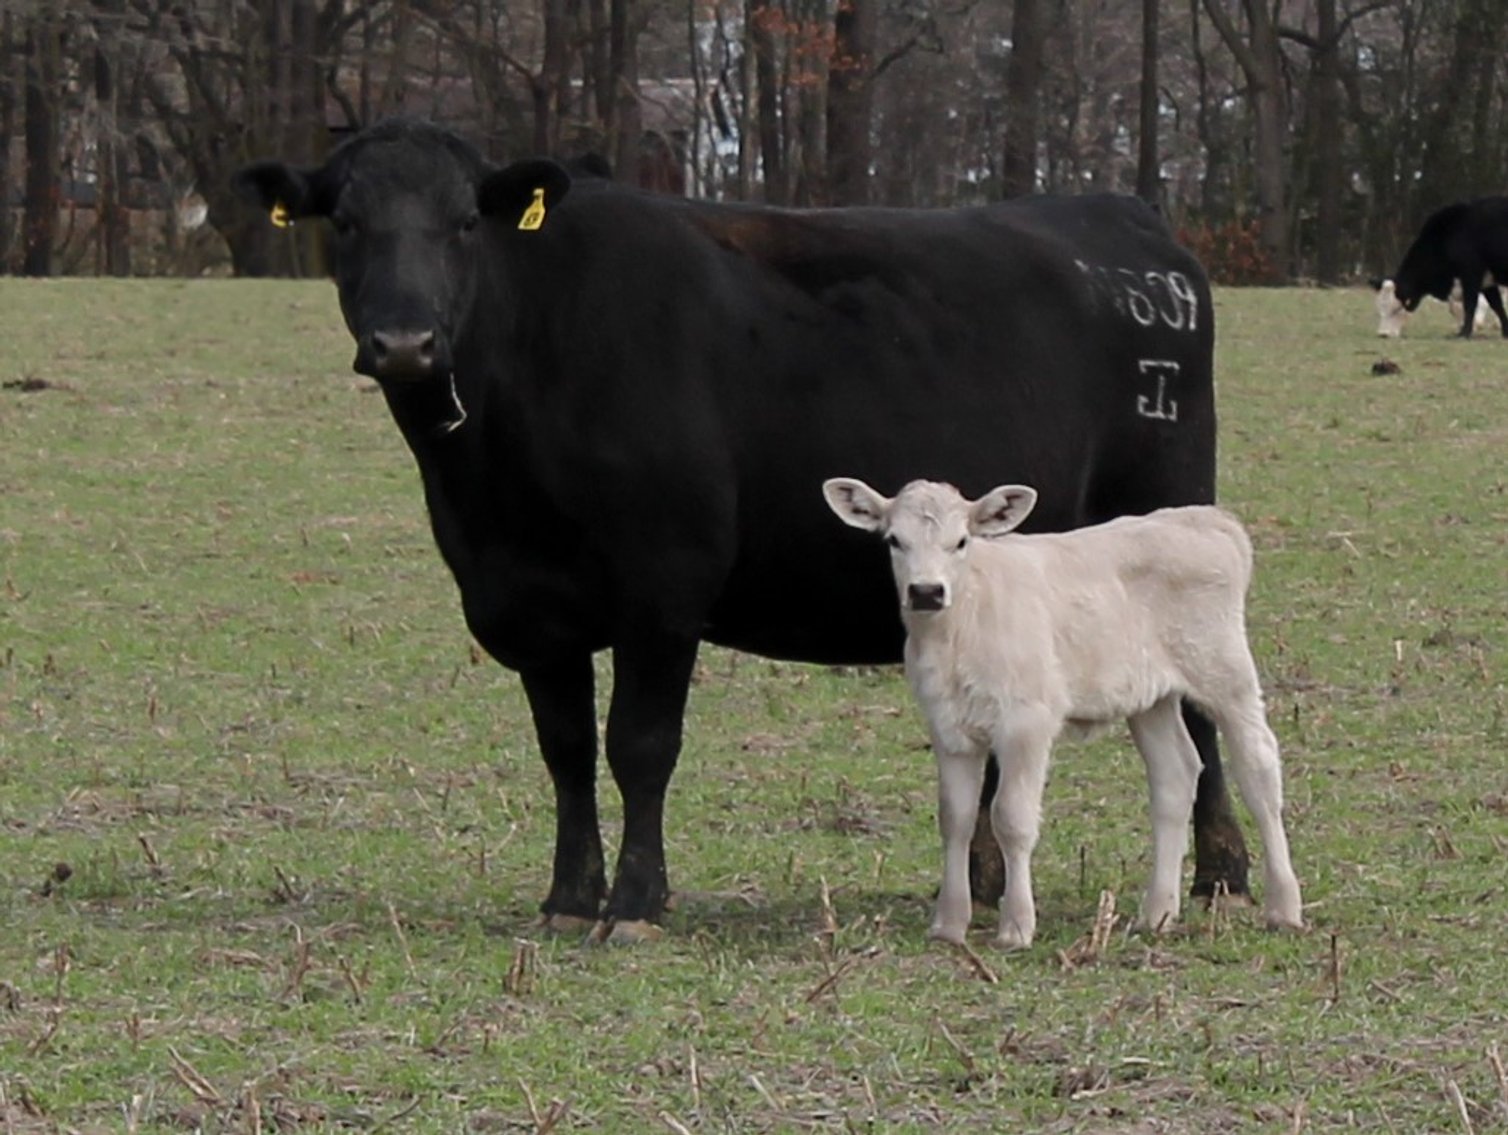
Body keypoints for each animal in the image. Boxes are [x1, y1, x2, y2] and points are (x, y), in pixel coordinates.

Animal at [233, 118, 1252, 942]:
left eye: (462, 222)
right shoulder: (527, 604)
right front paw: (568, 896)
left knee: (1200, 710)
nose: (405, 342)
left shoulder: (663, 584)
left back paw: (1224, 873)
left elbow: (639, 743)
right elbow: (565, 751)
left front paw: (635, 904)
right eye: (347, 222)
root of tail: (1126, 220)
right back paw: (990, 878)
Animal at [822, 478, 1304, 948]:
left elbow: (1011, 818)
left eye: (960, 541)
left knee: (1259, 767)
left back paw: (1283, 907)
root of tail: (1205, 518)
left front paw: (1016, 927)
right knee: (1176, 775)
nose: (926, 592)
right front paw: (949, 925)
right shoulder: (948, 728)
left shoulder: (1027, 722)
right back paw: (1157, 913)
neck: (958, 627)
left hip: (1225, 671)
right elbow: (955, 819)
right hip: (1151, 697)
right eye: (894, 540)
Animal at [1385, 197, 1508, 338]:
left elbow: (1470, 304)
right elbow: (1497, 305)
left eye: (1396, 310)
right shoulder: (1487, 282)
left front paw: (1464, 333)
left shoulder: (1470, 275)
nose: (1384, 334)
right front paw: (1505, 331)